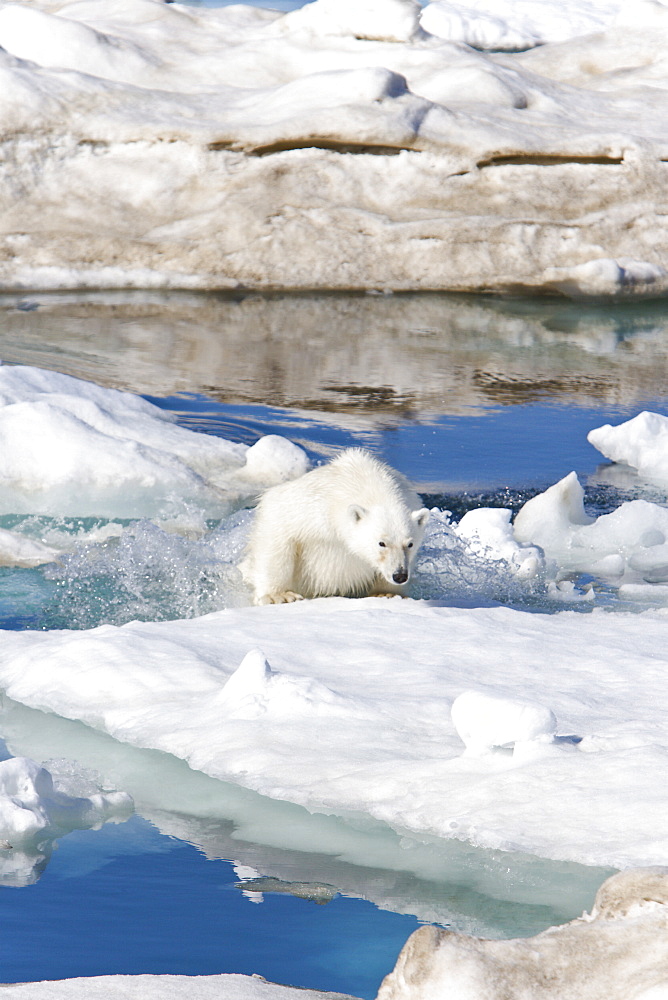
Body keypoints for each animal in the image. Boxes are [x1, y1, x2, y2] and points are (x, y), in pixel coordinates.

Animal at [240, 450, 428, 604]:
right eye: (381, 543)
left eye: (410, 544)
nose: (400, 575)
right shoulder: (312, 505)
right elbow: (278, 531)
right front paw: (279, 595)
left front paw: (386, 593)